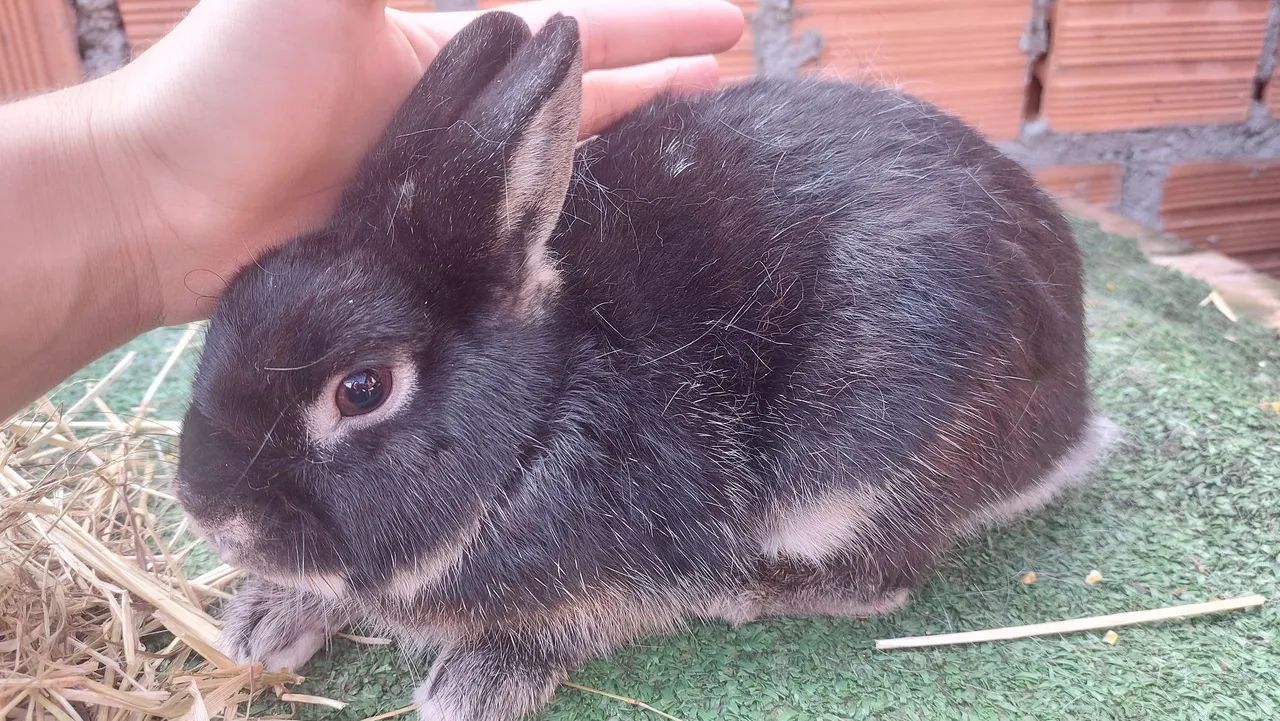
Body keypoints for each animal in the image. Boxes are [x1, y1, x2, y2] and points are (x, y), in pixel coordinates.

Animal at [174, 10, 1117, 721]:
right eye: (233, 305)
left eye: (361, 388)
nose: (207, 507)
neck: (540, 419)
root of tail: (1070, 413)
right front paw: (261, 623)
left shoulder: (635, 571)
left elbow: (567, 627)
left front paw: (469, 687)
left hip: (850, 480)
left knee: (883, 580)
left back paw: (746, 594)